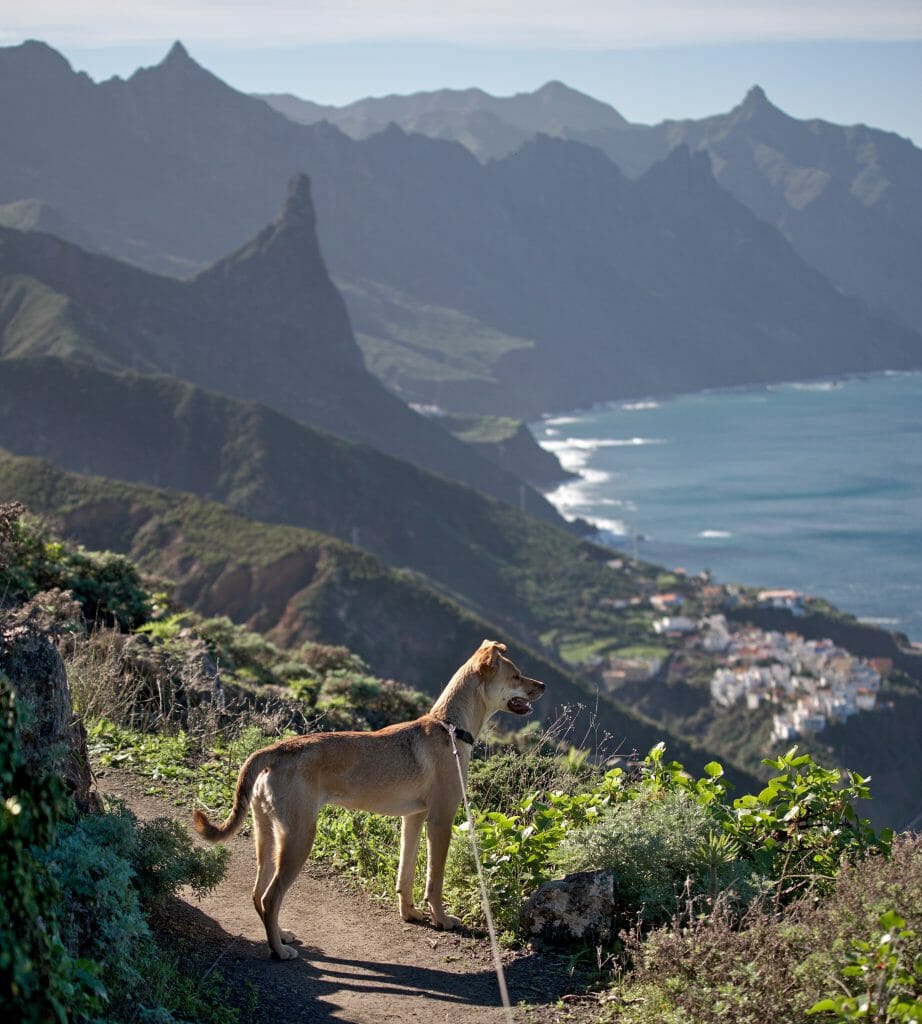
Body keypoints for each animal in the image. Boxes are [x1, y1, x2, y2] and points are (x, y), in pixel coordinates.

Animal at [190, 638, 545, 958]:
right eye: (516, 675)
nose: (542, 685)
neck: (450, 726)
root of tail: (276, 750)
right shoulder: (441, 820)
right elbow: (434, 880)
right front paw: (442, 920)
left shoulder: (413, 819)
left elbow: (405, 874)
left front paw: (410, 914)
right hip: (299, 838)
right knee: (270, 897)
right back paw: (278, 950)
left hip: (268, 836)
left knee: (257, 894)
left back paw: (281, 935)